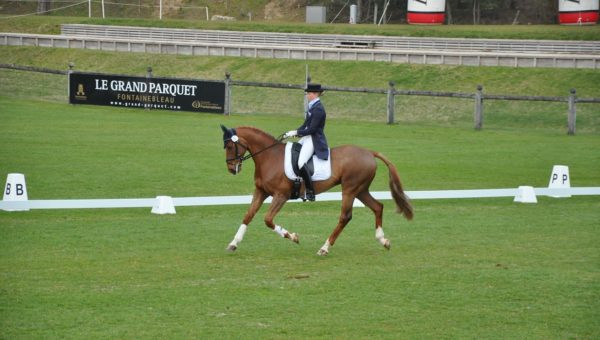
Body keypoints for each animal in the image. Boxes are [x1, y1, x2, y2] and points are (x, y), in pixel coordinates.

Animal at [220, 125, 412, 255]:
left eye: (229, 147)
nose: (231, 169)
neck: (269, 157)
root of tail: (369, 152)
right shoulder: (261, 191)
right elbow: (248, 215)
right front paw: (233, 244)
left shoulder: (281, 195)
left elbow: (268, 219)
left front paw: (293, 237)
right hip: (361, 190)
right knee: (378, 207)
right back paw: (383, 241)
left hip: (350, 189)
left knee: (345, 217)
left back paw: (324, 248)